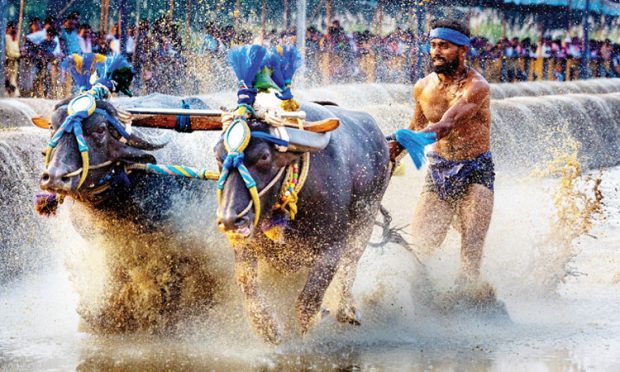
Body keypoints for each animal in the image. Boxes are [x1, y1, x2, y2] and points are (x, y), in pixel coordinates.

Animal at [213, 101, 388, 342]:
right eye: (218, 157)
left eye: (264, 156)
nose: (229, 219)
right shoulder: (246, 244)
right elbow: (246, 281)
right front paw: (268, 327)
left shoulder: (332, 249)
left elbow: (307, 302)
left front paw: (309, 328)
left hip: (366, 221)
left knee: (350, 266)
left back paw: (347, 310)